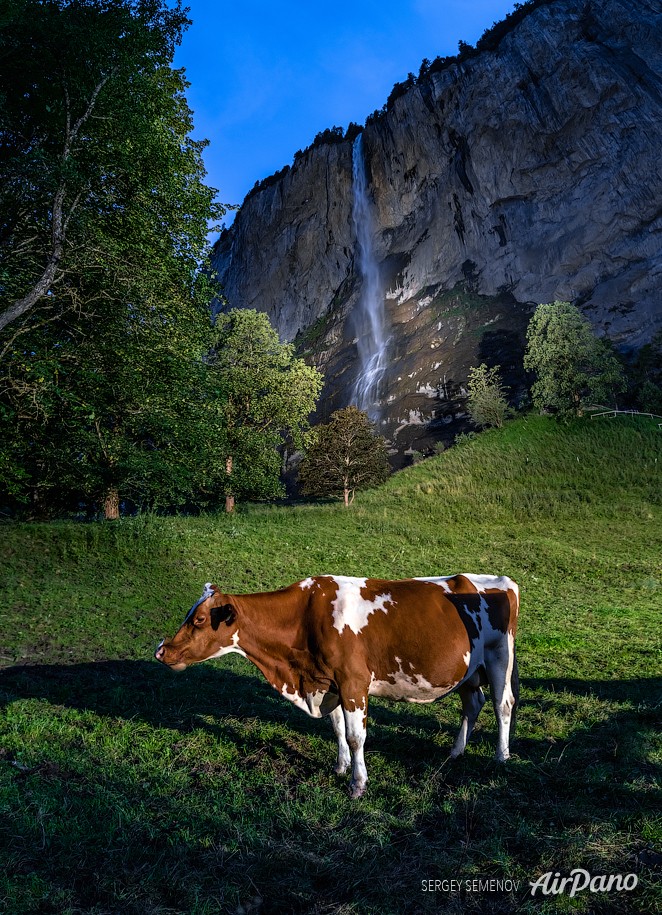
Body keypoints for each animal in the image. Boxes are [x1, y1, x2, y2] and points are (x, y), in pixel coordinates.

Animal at [154, 576, 520, 796]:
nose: (162, 651)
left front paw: (358, 783)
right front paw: (341, 767)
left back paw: (501, 757)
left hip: (499, 657)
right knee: (473, 704)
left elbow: (357, 736)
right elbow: (338, 729)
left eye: (200, 620)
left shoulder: (352, 682)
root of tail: (499, 581)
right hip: (469, 670)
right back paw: (456, 752)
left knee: (502, 704)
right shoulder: (328, 683)